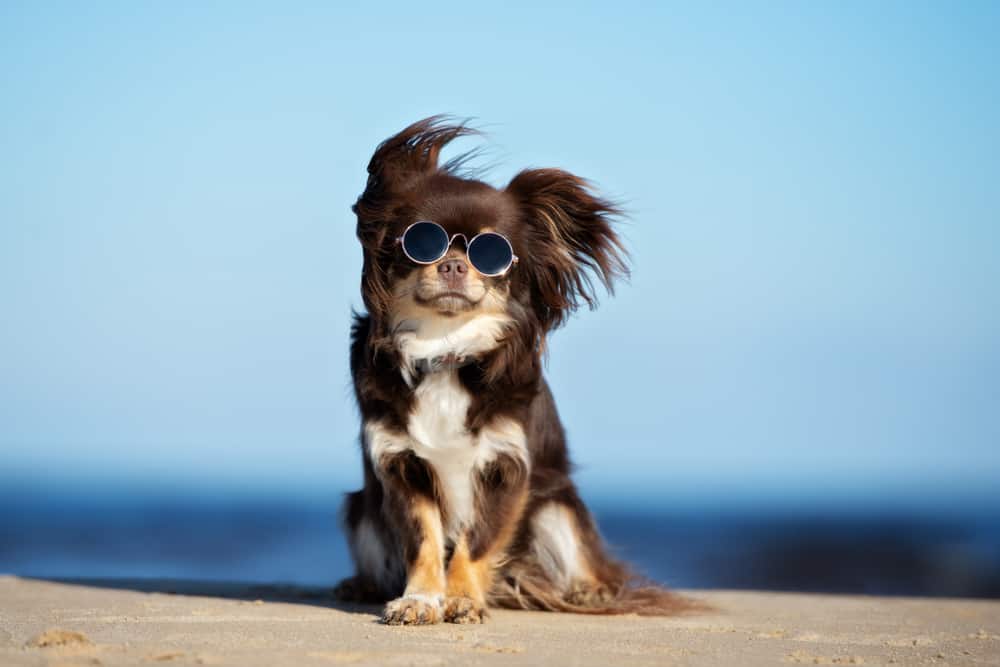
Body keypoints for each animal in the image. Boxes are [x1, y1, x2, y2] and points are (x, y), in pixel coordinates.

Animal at [338, 117, 696, 624]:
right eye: (419, 243)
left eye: (493, 253)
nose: (453, 264)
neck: (446, 351)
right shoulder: (402, 466)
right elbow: (424, 541)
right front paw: (421, 599)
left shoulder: (506, 469)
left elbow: (476, 541)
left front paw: (463, 598)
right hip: (360, 510)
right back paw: (362, 584)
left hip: (557, 506)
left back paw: (588, 591)